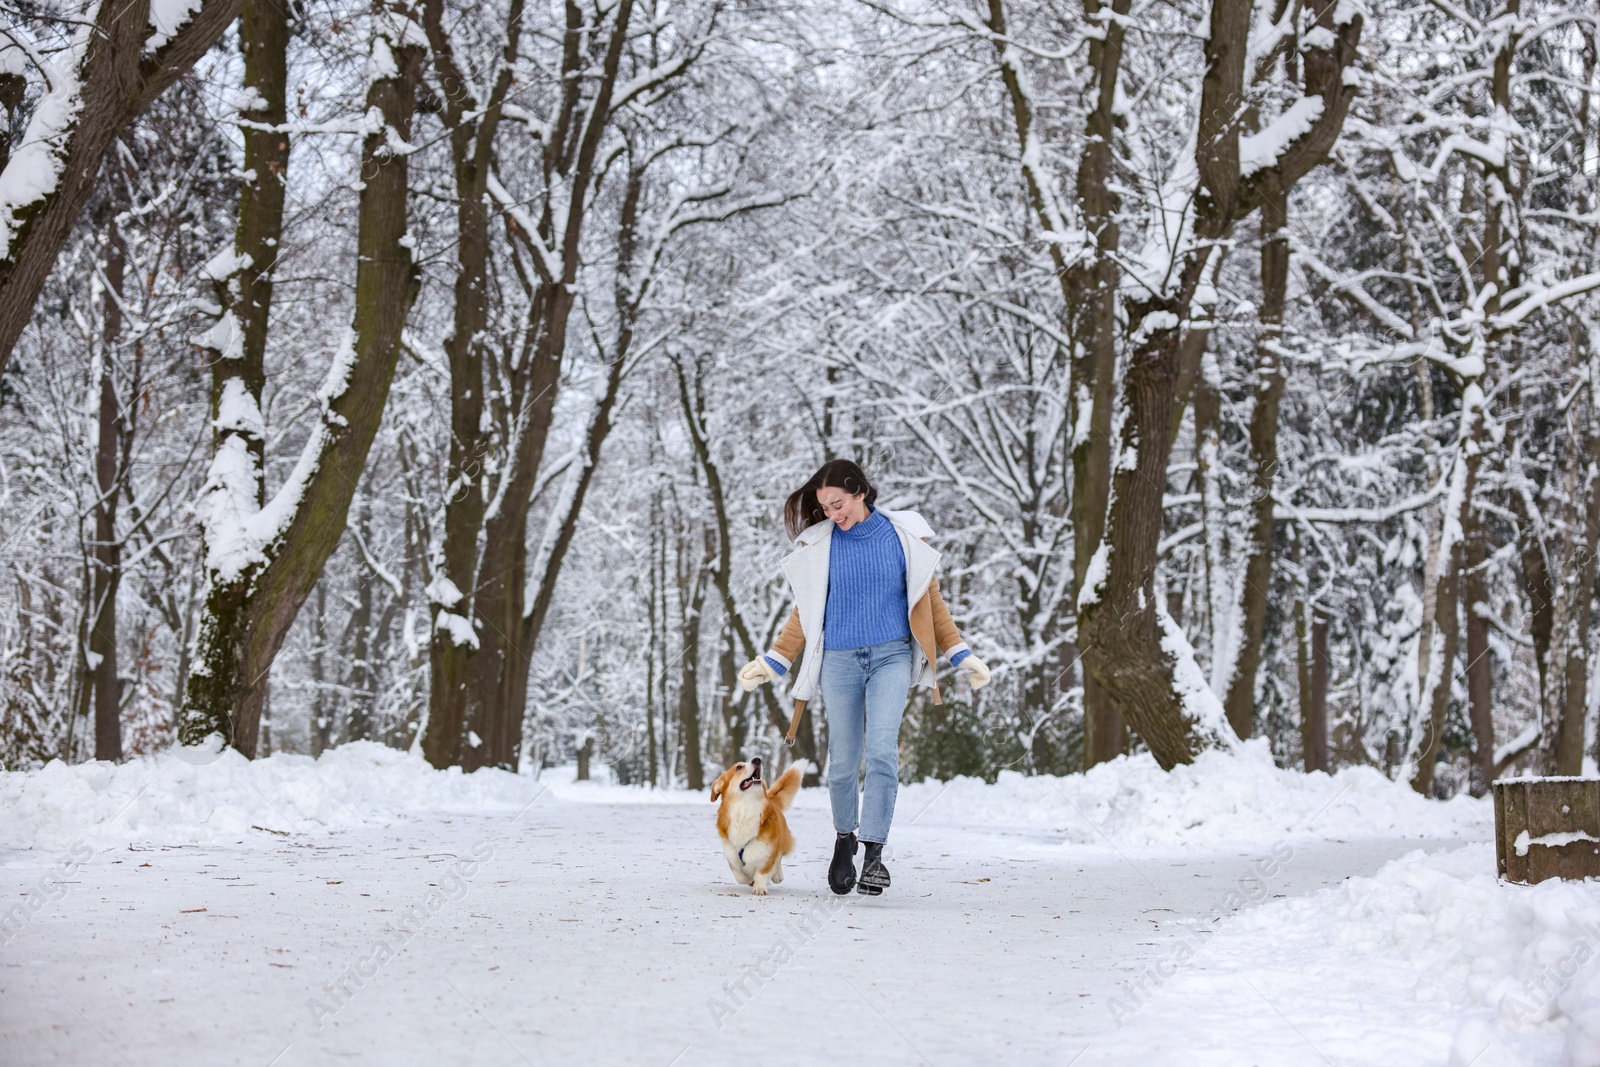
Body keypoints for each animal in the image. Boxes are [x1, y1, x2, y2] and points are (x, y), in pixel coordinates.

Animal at [713, 755, 806, 895]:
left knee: (779, 858)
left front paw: (760, 887)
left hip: (783, 840)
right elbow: (740, 875)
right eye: (738, 767)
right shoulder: (731, 853)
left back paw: (777, 875)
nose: (757, 759)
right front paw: (749, 879)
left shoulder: (768, 852)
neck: (746, 806)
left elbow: (762, 872)